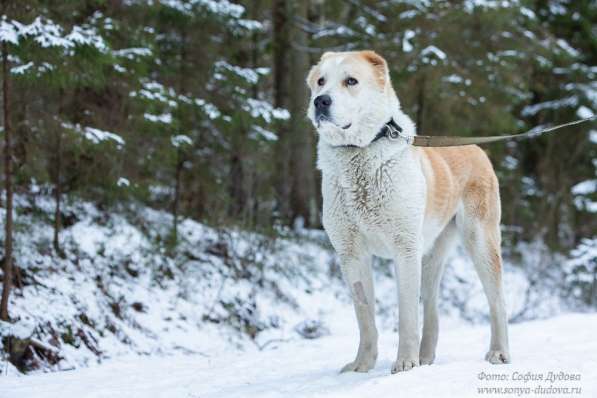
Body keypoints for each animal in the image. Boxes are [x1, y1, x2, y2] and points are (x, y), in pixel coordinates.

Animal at [304, 49, 510, 374]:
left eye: (351, 81)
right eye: (320, 81)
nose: (321, 101)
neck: (359, 154)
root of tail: (477, 148)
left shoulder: (405, 249)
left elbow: (406, 315)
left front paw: (404, 363)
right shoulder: (351, 254)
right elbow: (365, 317)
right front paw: (362, 364)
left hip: (479, 241)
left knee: (497, 301)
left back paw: (498, 353)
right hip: (430, 256)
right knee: (432, 308)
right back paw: (425, 358)